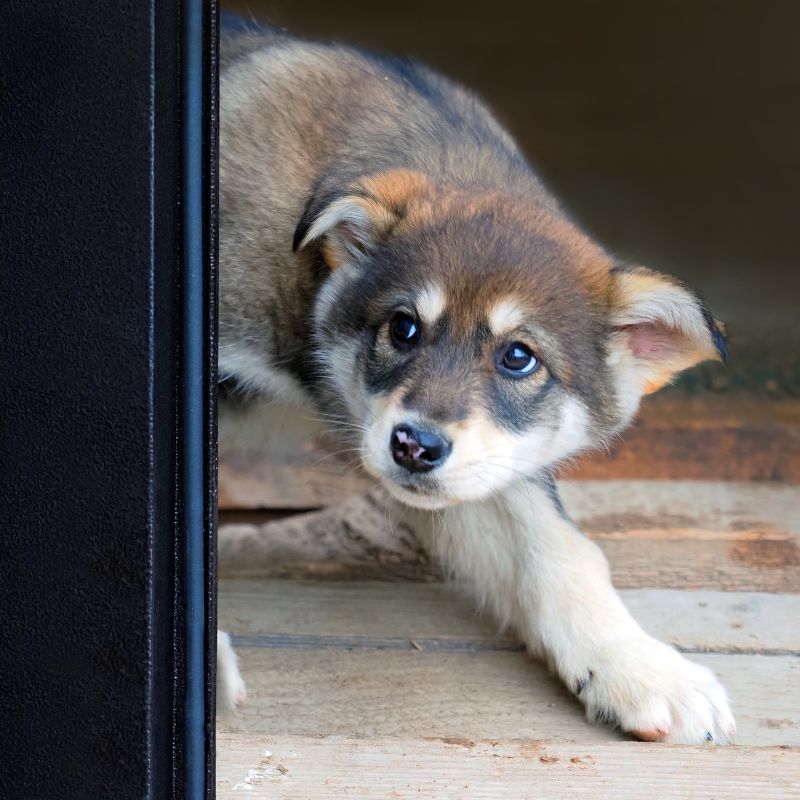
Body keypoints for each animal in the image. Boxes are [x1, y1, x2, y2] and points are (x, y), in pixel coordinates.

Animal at [216, 20, 736, 744]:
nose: (414, 448)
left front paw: (639, 668)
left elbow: (558, 548)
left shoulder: (487, 469)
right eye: (403, 328)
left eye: (519, 357)